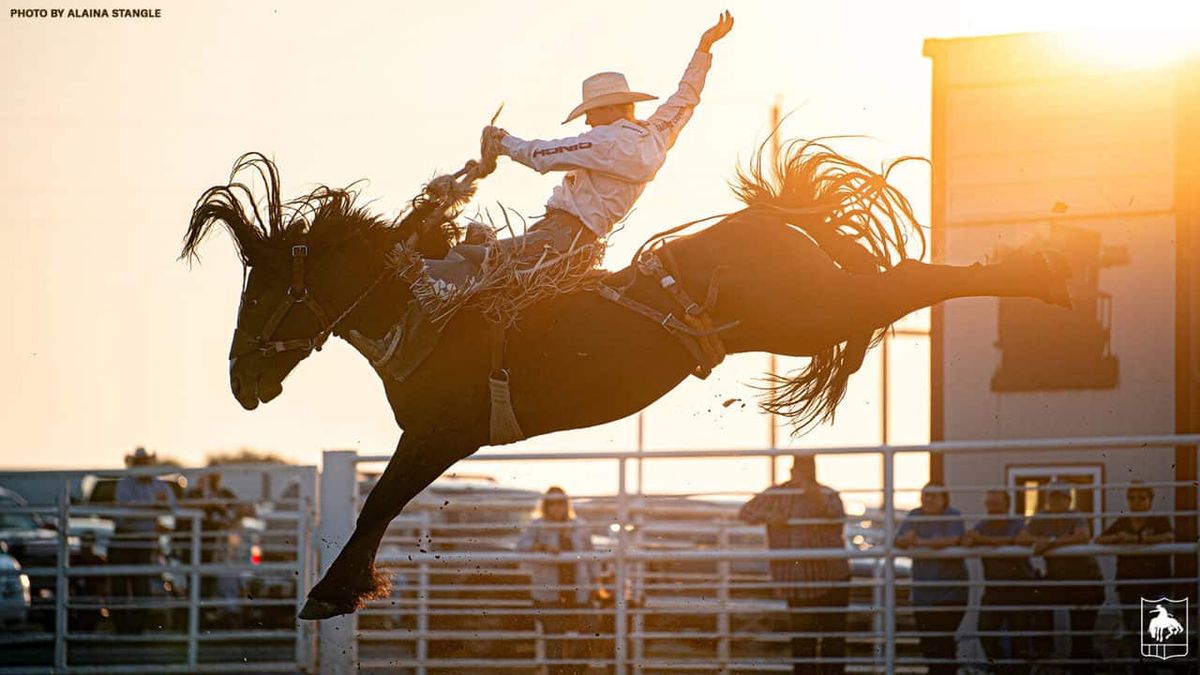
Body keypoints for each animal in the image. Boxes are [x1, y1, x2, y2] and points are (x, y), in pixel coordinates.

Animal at [180, 139, 1070, 619]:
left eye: (261, 290)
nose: (240, 380)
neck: (425, 308)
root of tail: (778, 218)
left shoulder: (441, 431)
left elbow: (378, 502)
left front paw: (334, 590)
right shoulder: (433, 437)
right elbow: (379, 503)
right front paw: (345, 586)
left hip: (812, 311)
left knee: (907, 280)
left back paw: (1045, 272)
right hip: (812, 313)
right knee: (893, 281)